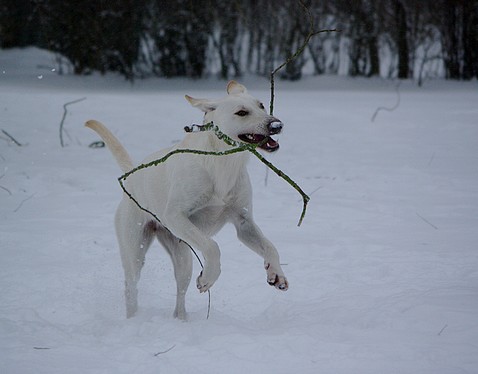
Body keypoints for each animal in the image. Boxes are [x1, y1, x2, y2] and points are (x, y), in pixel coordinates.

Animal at [85, 81, 288, 318]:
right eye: (242, 112)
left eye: (261, 105)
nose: (277, 125)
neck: (223, 164)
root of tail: (132, 174)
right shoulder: (175, 217)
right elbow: (212, 247)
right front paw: (208, 278)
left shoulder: (244, 222)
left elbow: (270, 246)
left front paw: (276, 273)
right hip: (135, 248)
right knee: (131, 286)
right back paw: (132, 317)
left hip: (182, 255)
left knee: (180, 291)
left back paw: (181, 319)